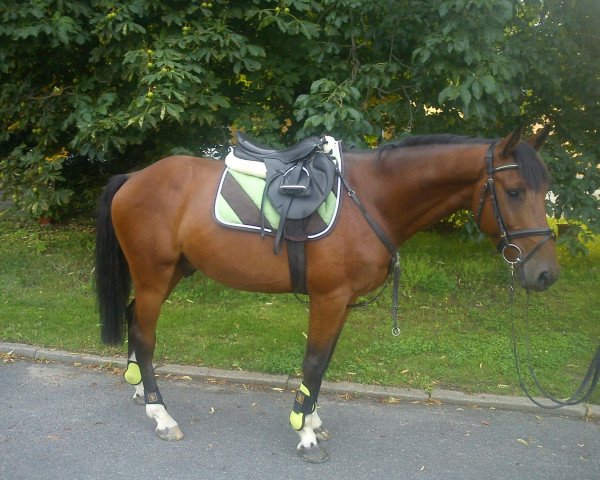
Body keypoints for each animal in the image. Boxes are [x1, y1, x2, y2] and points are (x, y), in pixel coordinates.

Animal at [94, 125, 556, 464]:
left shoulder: (343, 302)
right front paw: (305, 435)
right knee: (146, 336)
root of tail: (134, 177)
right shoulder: (329, 298)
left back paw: (140, 390)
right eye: (515, 191)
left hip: (171, 273)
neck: (371, 199)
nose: (545, 273)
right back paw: (160, 413)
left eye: (545, 190)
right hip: (154, 275)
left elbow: (324, 363)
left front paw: (312, 419)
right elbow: (314, 361)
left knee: (134, 319)